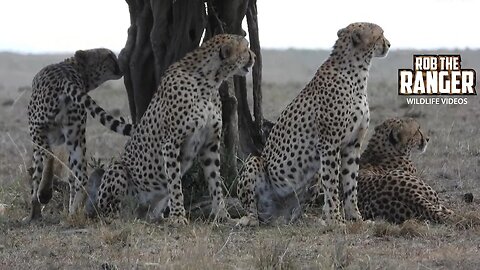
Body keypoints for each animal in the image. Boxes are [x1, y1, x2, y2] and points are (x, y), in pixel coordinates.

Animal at [28, 48, 133, 221]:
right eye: (109, 56)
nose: (121, 64)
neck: (76, 68)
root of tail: (64, 76)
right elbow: (71, 178)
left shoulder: (37, 140)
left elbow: (36, 174)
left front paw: (33, 214)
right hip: (75, 137)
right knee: (82, 176)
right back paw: (73, 213)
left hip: (38, 129)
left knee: (50, 155)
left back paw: (45, 193)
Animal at [88, 33, 256, 225]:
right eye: (245, 48)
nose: (254, 57)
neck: (209, 80)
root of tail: (137, 213)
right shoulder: (171, 143)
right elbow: (175, 183)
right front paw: (178, 217)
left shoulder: (210, 145)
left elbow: (215, 181)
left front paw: (222, 215)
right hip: (117, 170)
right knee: (108, 210)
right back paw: (116, 218)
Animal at [236, 22, 390, 226]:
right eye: (380, 35)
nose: (389, 44)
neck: (358, 72)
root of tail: (276, 215)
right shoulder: (329, 143)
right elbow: (332, 183)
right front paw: (336, 220)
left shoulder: (353, 144)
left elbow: (351, 184)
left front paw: (356, 218)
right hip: (255, 163)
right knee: (252, 208)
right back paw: (249, 219)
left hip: (308, 182)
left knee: (293, 212)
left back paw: (303, 218)